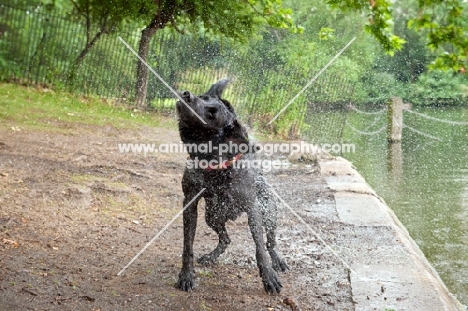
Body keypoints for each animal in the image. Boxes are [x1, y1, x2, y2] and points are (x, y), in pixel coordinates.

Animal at [174, 79, 288, 294]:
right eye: (203, 97)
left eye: (213, 113)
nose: (186, 95)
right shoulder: (190, 202)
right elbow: (187, 246)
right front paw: (186, 275)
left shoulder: (253, 209)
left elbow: (260, 249)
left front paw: (268, 277)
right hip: (212, 215)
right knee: (225, 239)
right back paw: (210, 256)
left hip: (269, 213)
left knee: (270, 242)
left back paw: (277, 261)